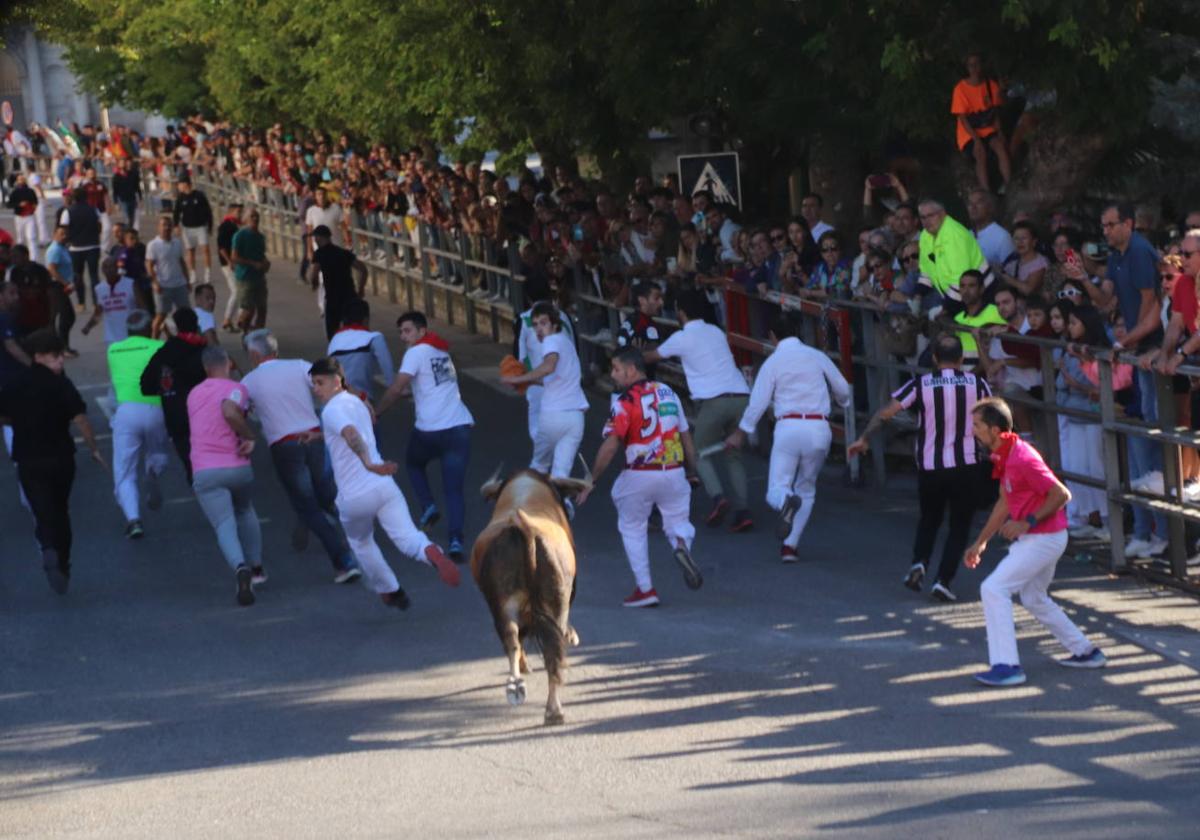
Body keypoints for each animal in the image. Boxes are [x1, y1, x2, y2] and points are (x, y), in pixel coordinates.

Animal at [472, 470, 590, 724]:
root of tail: (523, 525)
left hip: (501, 604)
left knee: (513, 639)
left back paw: (517, 685)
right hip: (556, 603)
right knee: (551, 652)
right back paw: (553, 710)